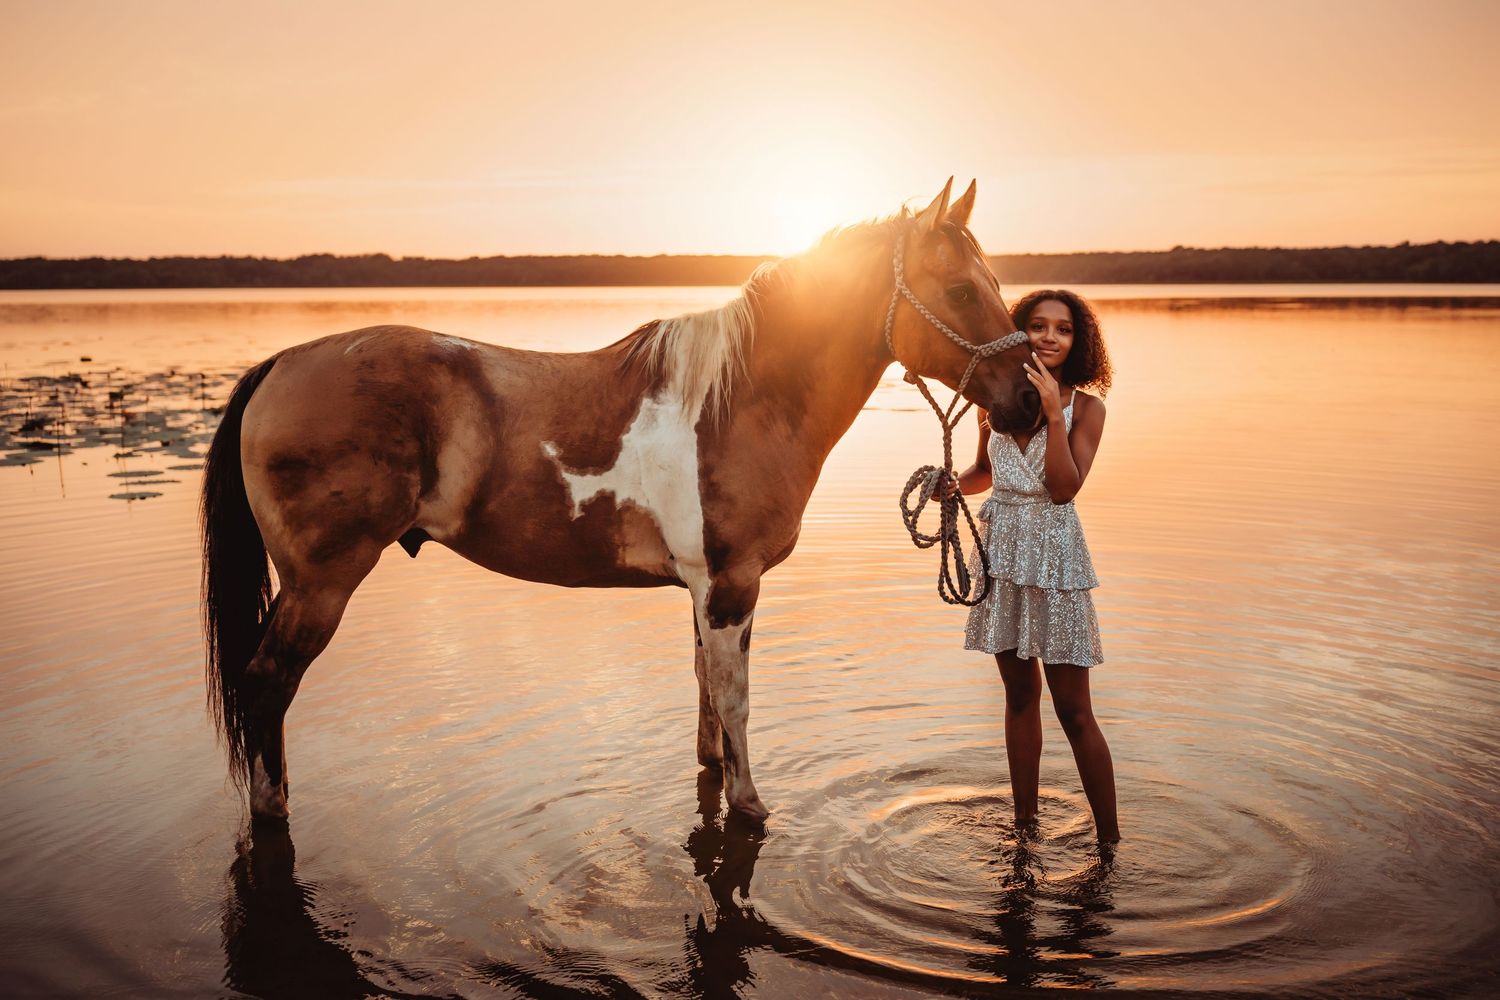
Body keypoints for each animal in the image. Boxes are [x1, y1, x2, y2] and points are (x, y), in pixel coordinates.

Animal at [201, 178, 1042, 822]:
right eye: (960, 289)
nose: (1031, 404)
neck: (740, 404)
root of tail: (280, 364)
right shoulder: (732, 587)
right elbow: (736, 701)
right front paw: (751, 806)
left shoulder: (704, 593)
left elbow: (707, 698)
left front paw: (719, 783)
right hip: (320, 584)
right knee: (268, 683)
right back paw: (272, 809)